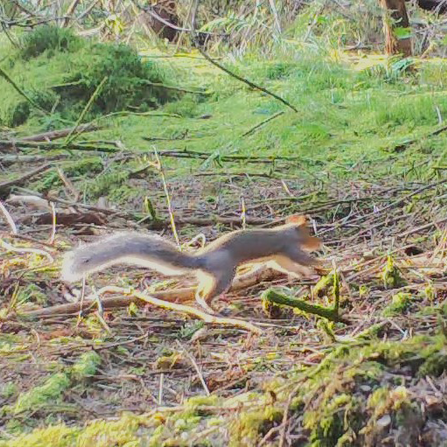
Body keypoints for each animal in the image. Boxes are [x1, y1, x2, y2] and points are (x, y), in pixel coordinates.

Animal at [62, 216, 322, 314]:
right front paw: (322, 262)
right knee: (204, 295)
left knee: (198, 291)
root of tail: (202, 259)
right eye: (310, 233)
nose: (319, 242)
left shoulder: (280, 256)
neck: (286, 232)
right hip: (225, 274)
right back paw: (213, 309)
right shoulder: (287, 248)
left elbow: (289, 267)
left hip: (213, 276)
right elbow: (301, 259)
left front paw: (305, 273)